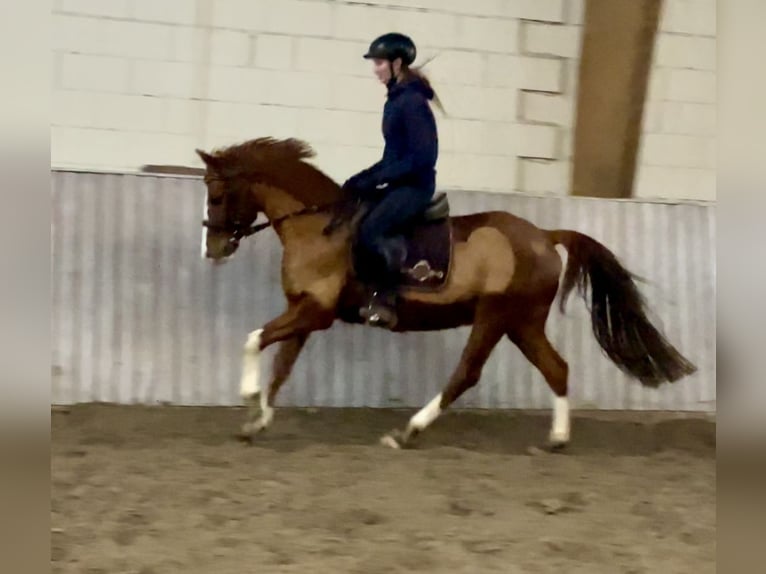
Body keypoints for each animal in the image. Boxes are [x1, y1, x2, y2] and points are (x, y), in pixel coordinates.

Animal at [195, 137, 700, 452]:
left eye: (217, 196)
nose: (212, 250)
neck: (319, 226)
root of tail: (543, 235)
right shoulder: (303, 311)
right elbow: (280, 367)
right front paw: (257, 421)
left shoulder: (313, 312)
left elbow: (253, 340)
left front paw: (246, 397)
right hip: (522, 323)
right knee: (556, 368)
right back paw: (556, 440)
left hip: (495, 316)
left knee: (467, 373)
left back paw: (407, 432)